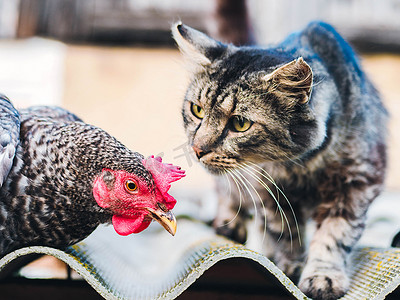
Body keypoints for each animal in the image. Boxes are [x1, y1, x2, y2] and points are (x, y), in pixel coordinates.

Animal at [173, 21, 388, 300]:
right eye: (197, 110)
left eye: (240, 123)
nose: (198, 149)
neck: (304, 163)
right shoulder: (268, 189)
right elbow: (286, 232)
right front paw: (288, 266)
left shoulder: (356, 182)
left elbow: (334, 235)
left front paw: (322, 277)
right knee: (227, 193)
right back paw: (229, 225)